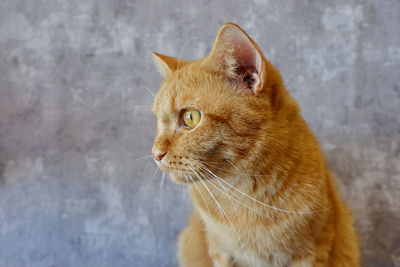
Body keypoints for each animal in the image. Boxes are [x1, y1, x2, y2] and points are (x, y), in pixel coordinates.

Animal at [149, 23, 360, 267]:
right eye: (158, 121)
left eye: (190, 117)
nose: (155, 154)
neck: (244, 195)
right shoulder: (220, 252)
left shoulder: (313, 251)